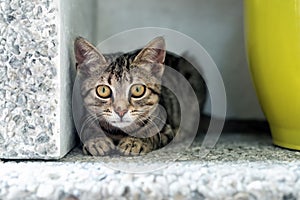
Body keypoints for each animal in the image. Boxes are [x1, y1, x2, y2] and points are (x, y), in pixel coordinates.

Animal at [74, 36, 206, 156]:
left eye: (137, 89)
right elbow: (88, 128)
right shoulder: (86, 117)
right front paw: (96, 140)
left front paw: (135, 141)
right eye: (103, 90)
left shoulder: (166, 129)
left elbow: (151, 133)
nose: (121, 111)